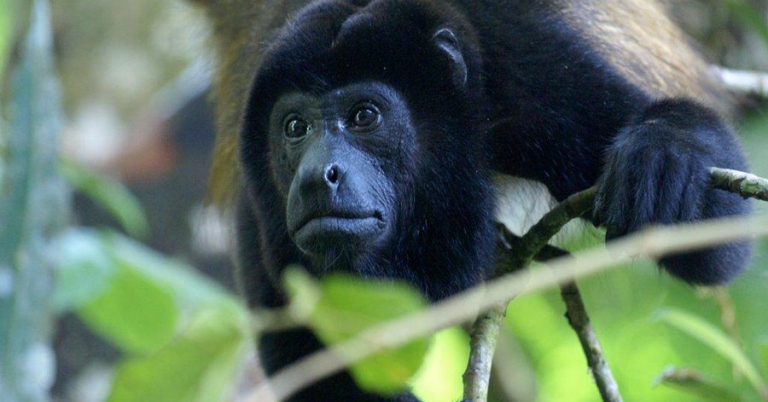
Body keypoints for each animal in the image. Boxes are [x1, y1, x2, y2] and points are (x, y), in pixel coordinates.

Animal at [189, 0, 752, 400]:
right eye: (294, 127)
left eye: (365, 115)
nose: (312, 178)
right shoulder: (258, 211)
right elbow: (312, 366)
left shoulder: (530, 67)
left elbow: (720, 241)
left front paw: (666, 150)